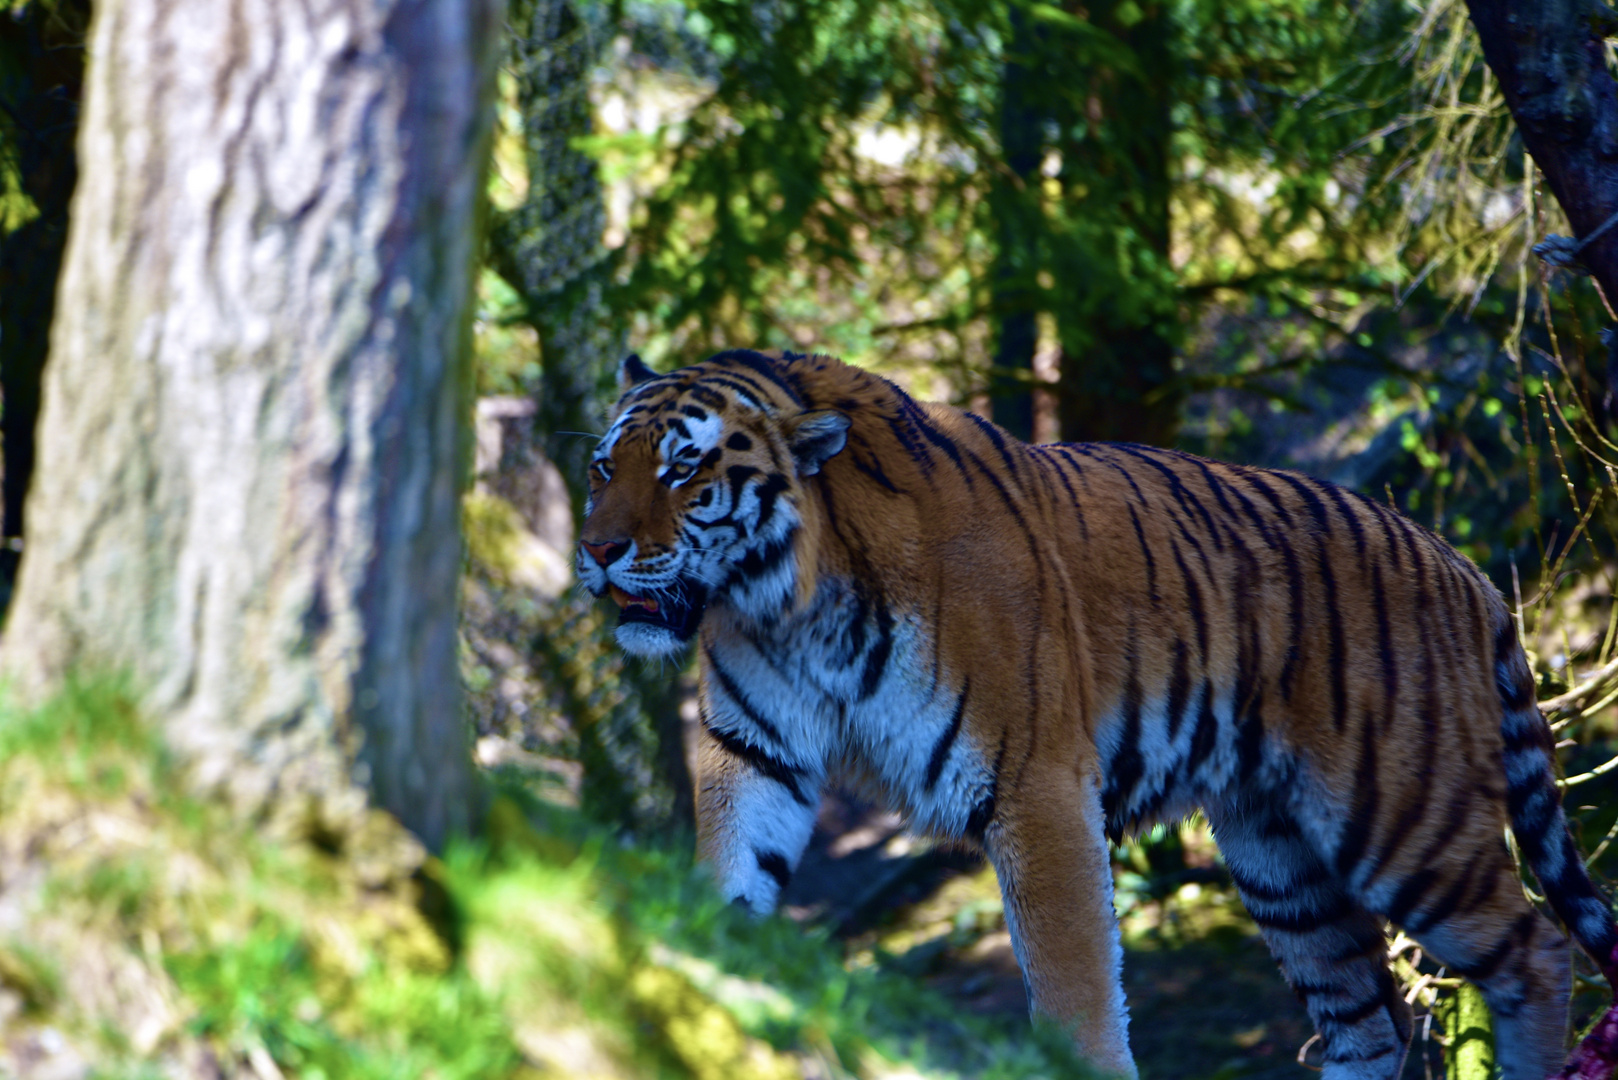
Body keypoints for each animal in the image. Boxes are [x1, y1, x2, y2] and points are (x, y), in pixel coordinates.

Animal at [576, 348, 1618, 1080]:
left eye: (683, 471)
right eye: (600, 467)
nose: (596, 551)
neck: (787, 600)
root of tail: (1463, 567)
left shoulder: (1033, 783)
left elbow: (1071, 979)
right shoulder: (754, 752)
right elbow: (730, 880)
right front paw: (693, 974)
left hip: (1397, 816)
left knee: (1535, 950)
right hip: (1282, 860)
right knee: (1368, 1019)